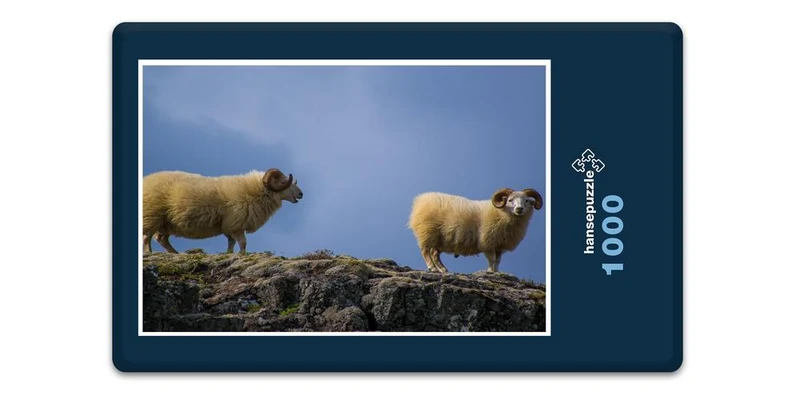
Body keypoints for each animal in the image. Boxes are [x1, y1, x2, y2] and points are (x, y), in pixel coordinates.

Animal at [142, 168, 303, 254]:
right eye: (283, 182)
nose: (301, 194)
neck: (256, 191)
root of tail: (146, 180)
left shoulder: (229, 226)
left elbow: (231, 242)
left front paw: (229, 254)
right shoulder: (236, 224)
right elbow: (243, 242)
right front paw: (242, 255)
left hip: (165, 222)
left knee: (161, 239)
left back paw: (174, 253)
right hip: (152, 215)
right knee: (146, 237)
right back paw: (149, 252)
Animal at [408, 187, 543, 273]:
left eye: (526, 201)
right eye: (510, 200)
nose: (519, 209)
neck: (501, 212)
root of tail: (420, 200)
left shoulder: (499, 245)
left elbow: (498, 260)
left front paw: (496, 272)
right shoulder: (487, 242)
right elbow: (492, 259)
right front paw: (490, 271)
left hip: (439, 239)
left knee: (434, 254)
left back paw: (443, 269)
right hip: (427, 232)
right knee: (425, 251)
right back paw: (432, 268)